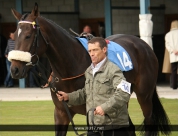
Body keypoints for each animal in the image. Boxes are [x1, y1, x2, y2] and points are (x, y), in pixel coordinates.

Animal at [10, 2, 171, 136]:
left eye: (28, 35)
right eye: (14, 36)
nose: (14, 69)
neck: (70, 67)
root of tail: (144, 45)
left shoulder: (93, 114)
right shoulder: (61, 113)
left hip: (144, 96)